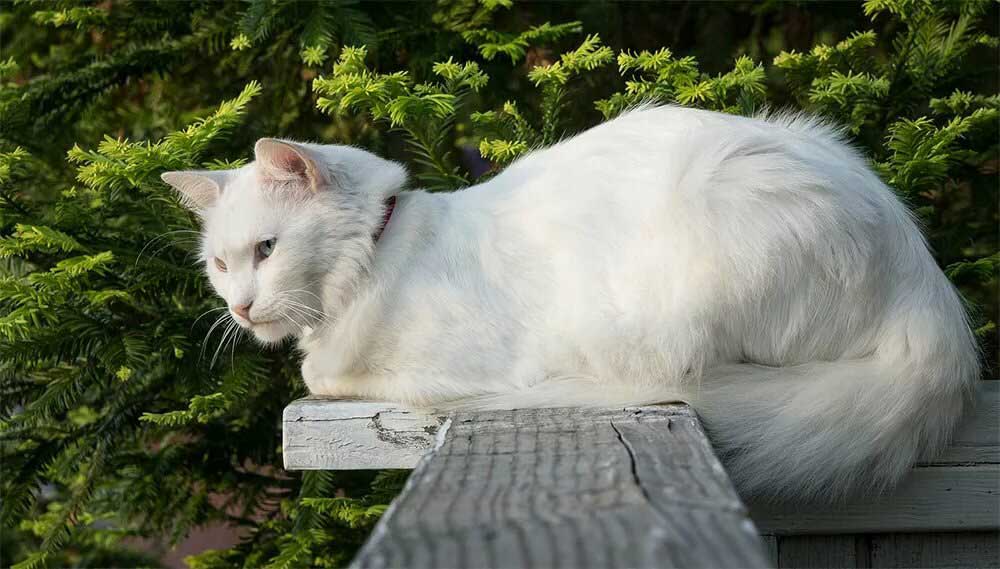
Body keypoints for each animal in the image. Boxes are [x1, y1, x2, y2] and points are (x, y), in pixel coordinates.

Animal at [162, 105, 976, 496]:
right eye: (220, 264)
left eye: (268, 250)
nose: (240, 307)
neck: (387, 251)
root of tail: (928, 290)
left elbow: (324, 375)